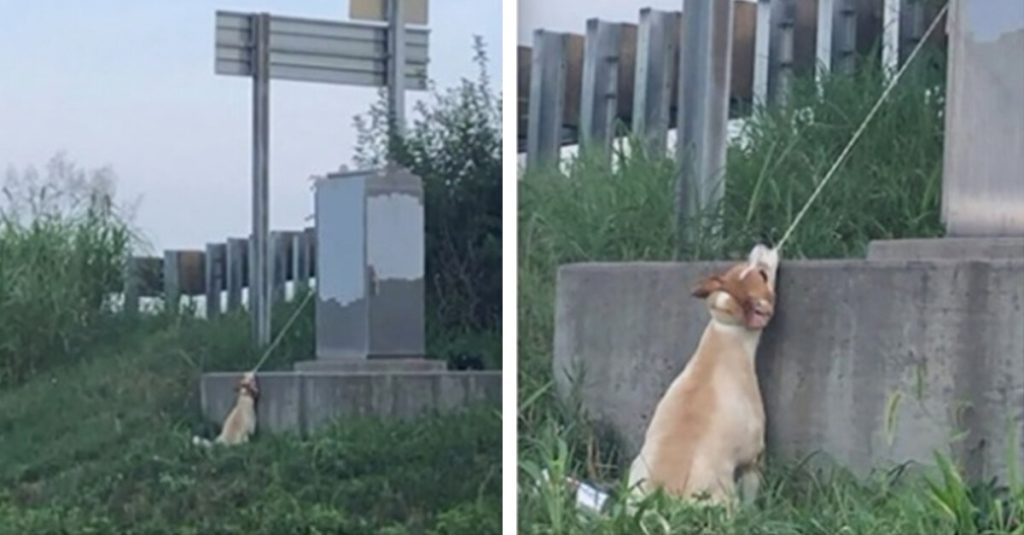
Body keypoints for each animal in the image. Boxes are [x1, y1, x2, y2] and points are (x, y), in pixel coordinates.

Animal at [626, 243, 778, 506]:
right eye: (763, 275)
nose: (759, 246)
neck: (727, 331)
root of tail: (661, 501)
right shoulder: (753, 456)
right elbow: (752, 488)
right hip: (722, 495)